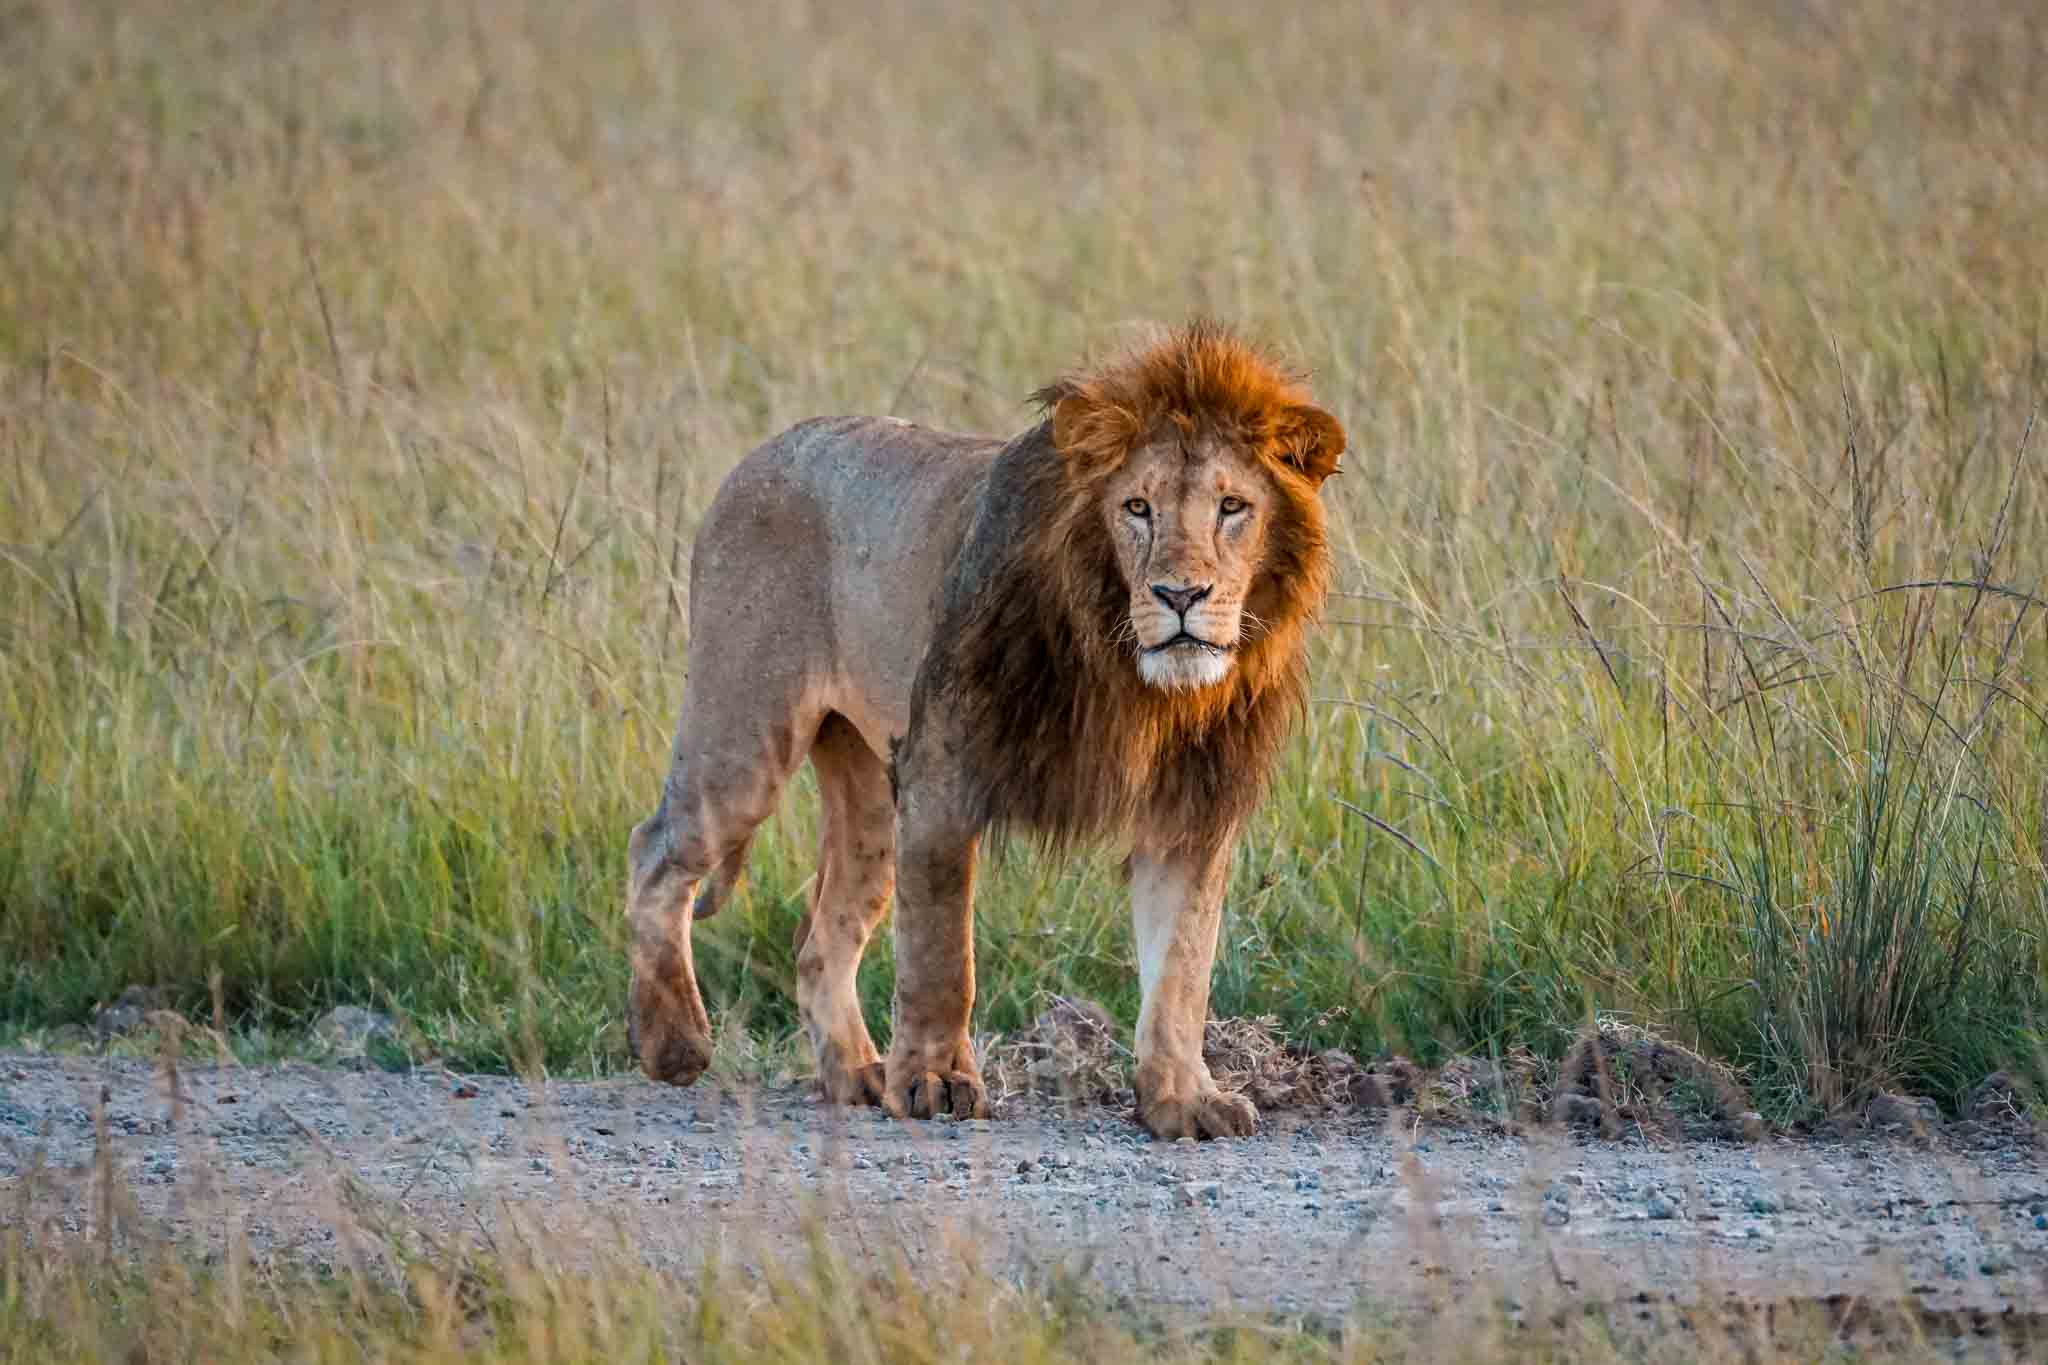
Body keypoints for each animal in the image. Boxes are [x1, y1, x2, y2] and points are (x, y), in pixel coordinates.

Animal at [624, 320, 1343, 1139]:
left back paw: (858, 1073)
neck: (1132, 678)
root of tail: (761, 453)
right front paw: (935, 1081)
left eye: (1232, 505)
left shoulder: (1190, 811)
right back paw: (675, 1042)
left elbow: (1182, 968)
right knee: (656, 853)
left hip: (871, 794)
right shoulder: (943, 772)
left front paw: (1183, 1099)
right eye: (1137, 507)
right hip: (746, 734)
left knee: (817, 941)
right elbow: (942, 955)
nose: (1180, 594)